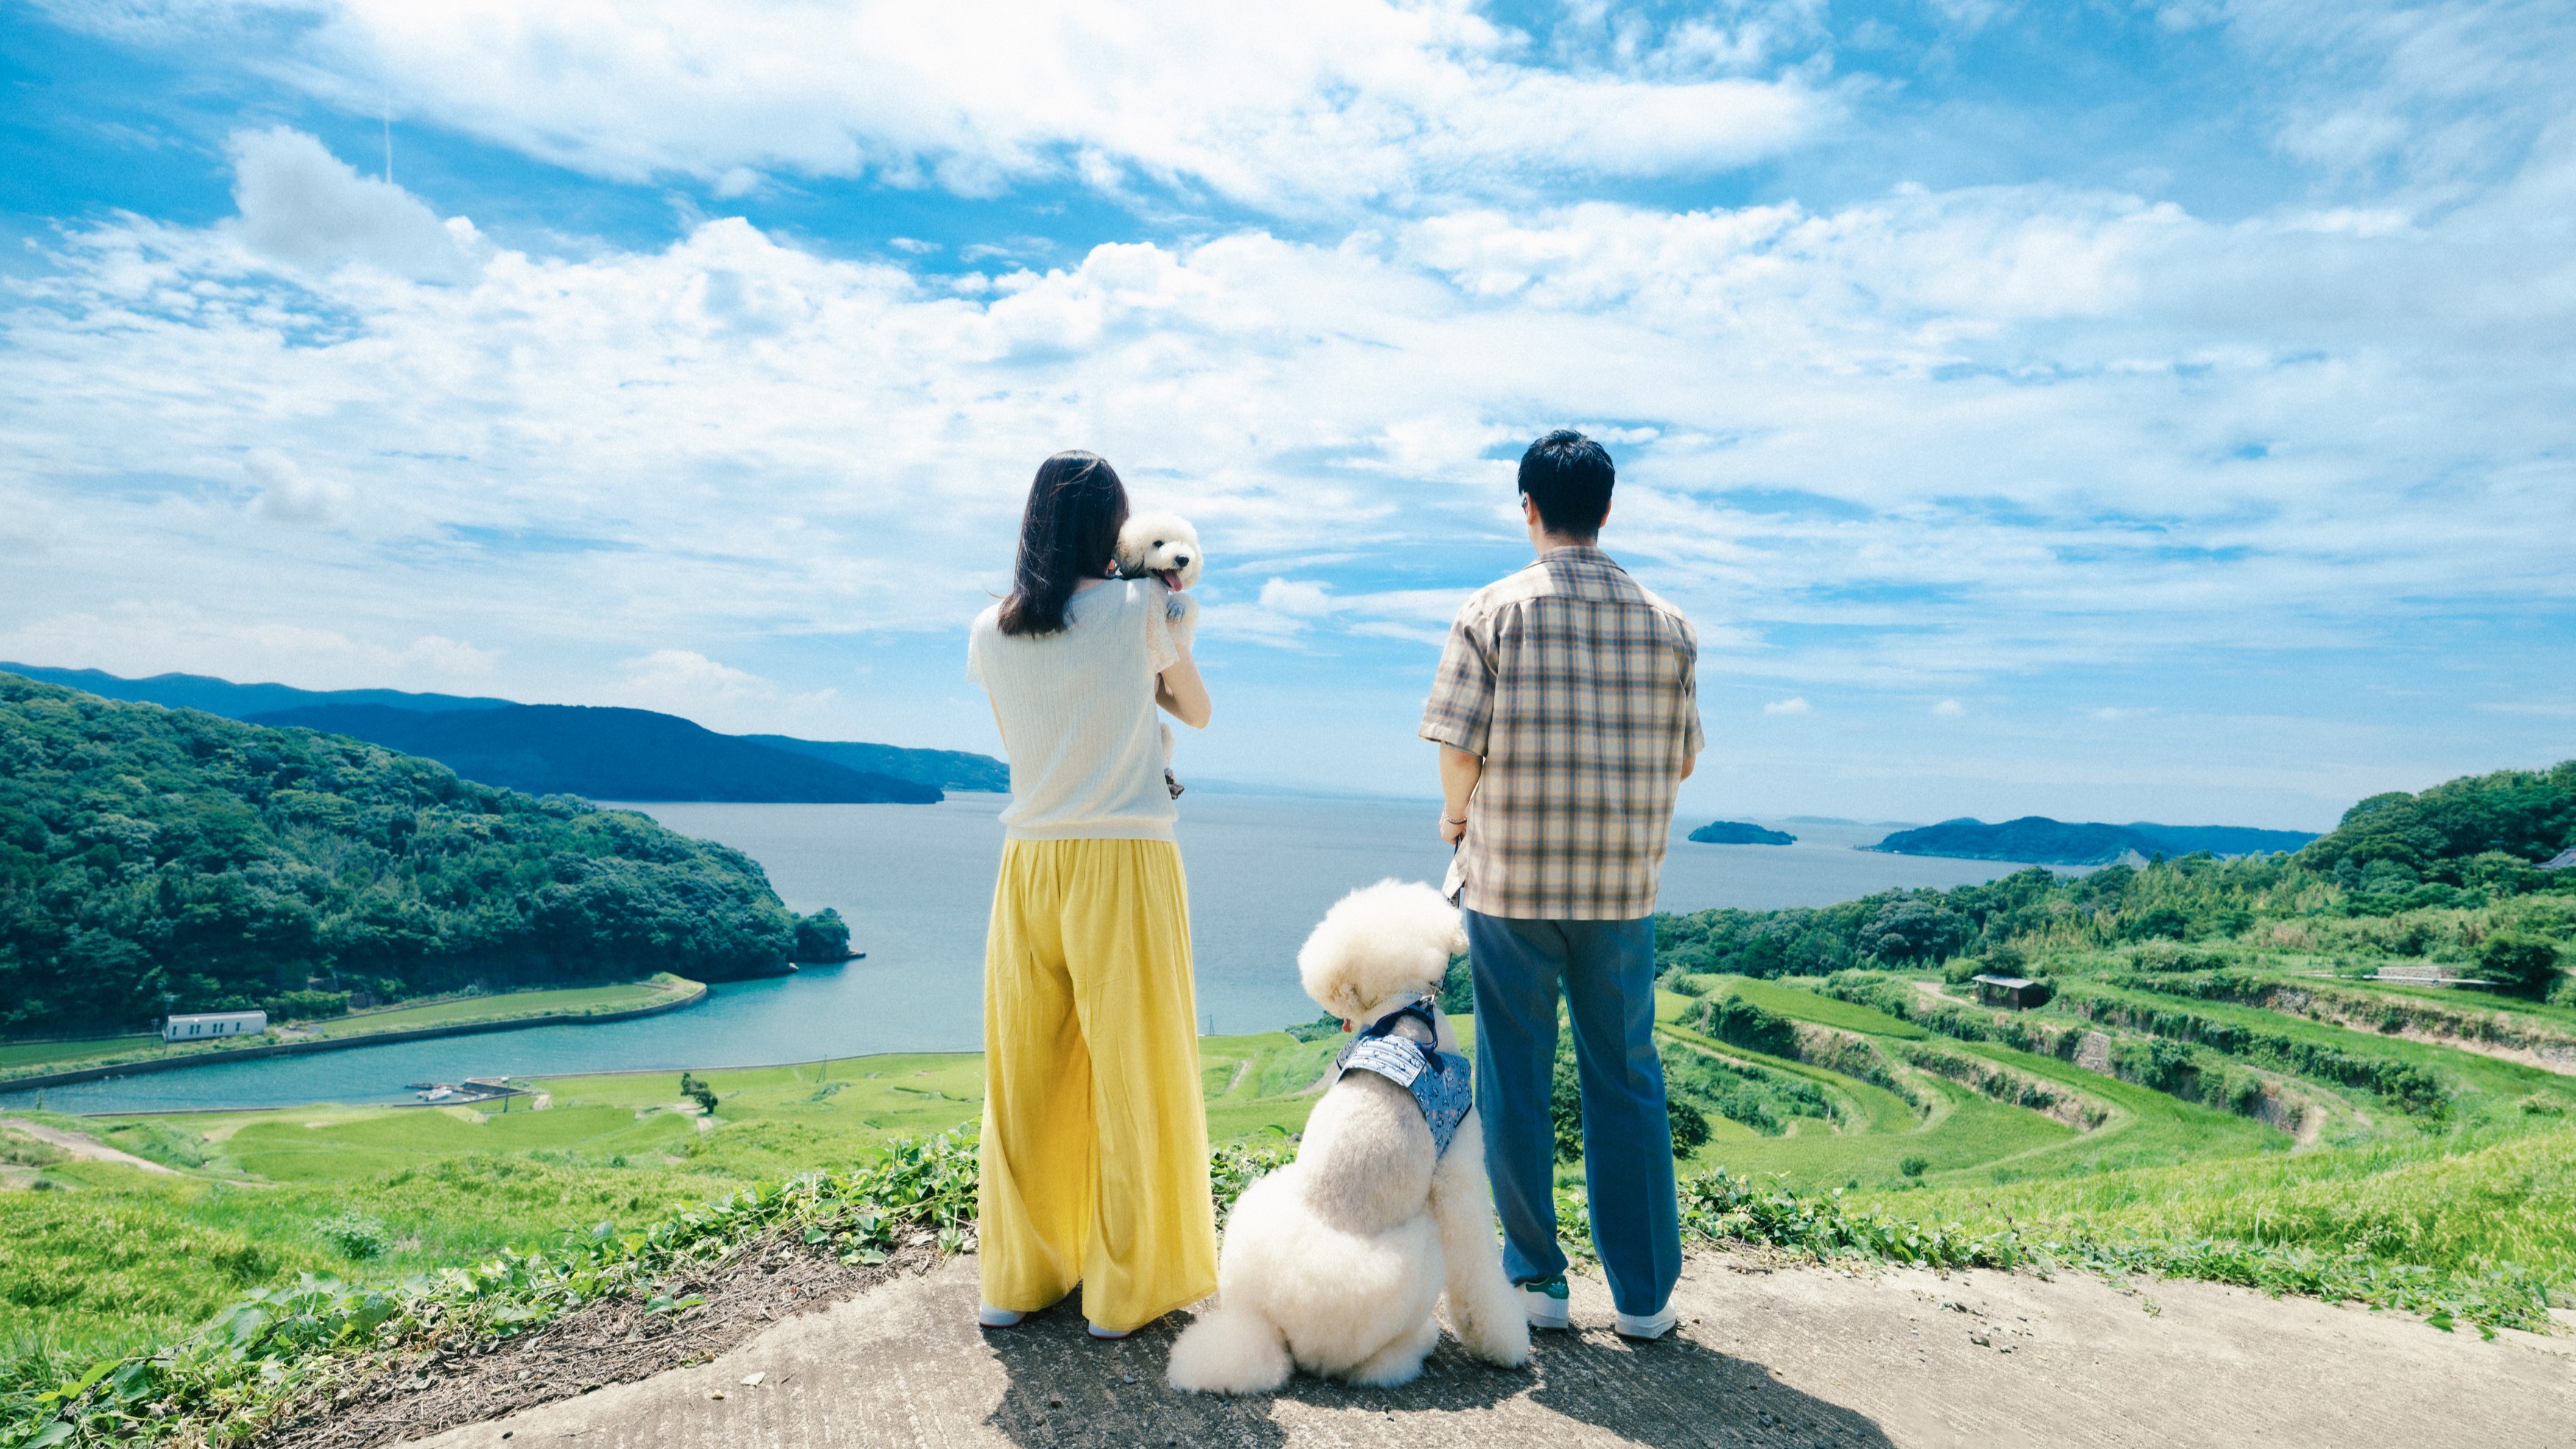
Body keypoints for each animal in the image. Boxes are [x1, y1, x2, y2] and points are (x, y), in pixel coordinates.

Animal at [1118, 511, 1206, 803]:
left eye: (1184, 545)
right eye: (1158, 543)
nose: (1183, 559)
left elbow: (1187, 602)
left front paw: (1179, 605)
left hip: (1164, 733)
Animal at [1170, 885, 1525, 1389]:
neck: (1406, 1017)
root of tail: (1269, 1325)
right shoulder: (1459, 1166)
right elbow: (1477, 1262)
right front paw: (1503, 1340)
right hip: (1414, 1256)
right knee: (1363, 1363)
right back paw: (1410, 1350)